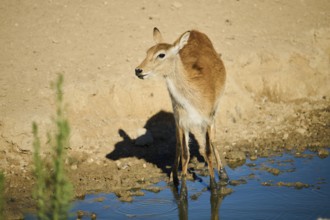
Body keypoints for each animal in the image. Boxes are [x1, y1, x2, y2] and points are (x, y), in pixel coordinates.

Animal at [135, 27, 228, 185]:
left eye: (161, 54)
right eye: (147, 51)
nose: (138, 70)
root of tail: (196, 31)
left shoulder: (206, 120)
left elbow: (208, 150)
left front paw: (214, 185)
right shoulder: (183, 122)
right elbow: (185, 153)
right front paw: (179, 183)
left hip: (213, 114)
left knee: (213, 140)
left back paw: (222, 173)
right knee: (179, 144)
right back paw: (174, 176)